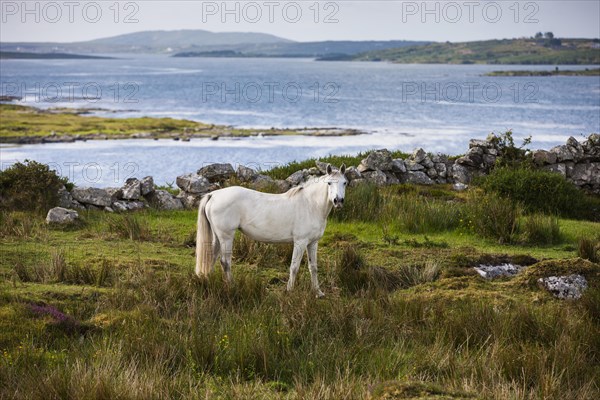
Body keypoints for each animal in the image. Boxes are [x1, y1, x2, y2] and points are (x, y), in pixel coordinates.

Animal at [197, 162, 346, 296]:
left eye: (344, 182)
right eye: (329, 183)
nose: (338, 201)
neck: (311, 204)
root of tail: (213, 195)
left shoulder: (313, 243)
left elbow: (313, 267)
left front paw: (318, 292)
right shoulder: (300, 242)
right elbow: (294, 267)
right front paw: (289, 291)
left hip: (218, 237)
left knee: (211, 257)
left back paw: (209, 282)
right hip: (226, 237)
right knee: (225, 262)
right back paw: (232, 287)